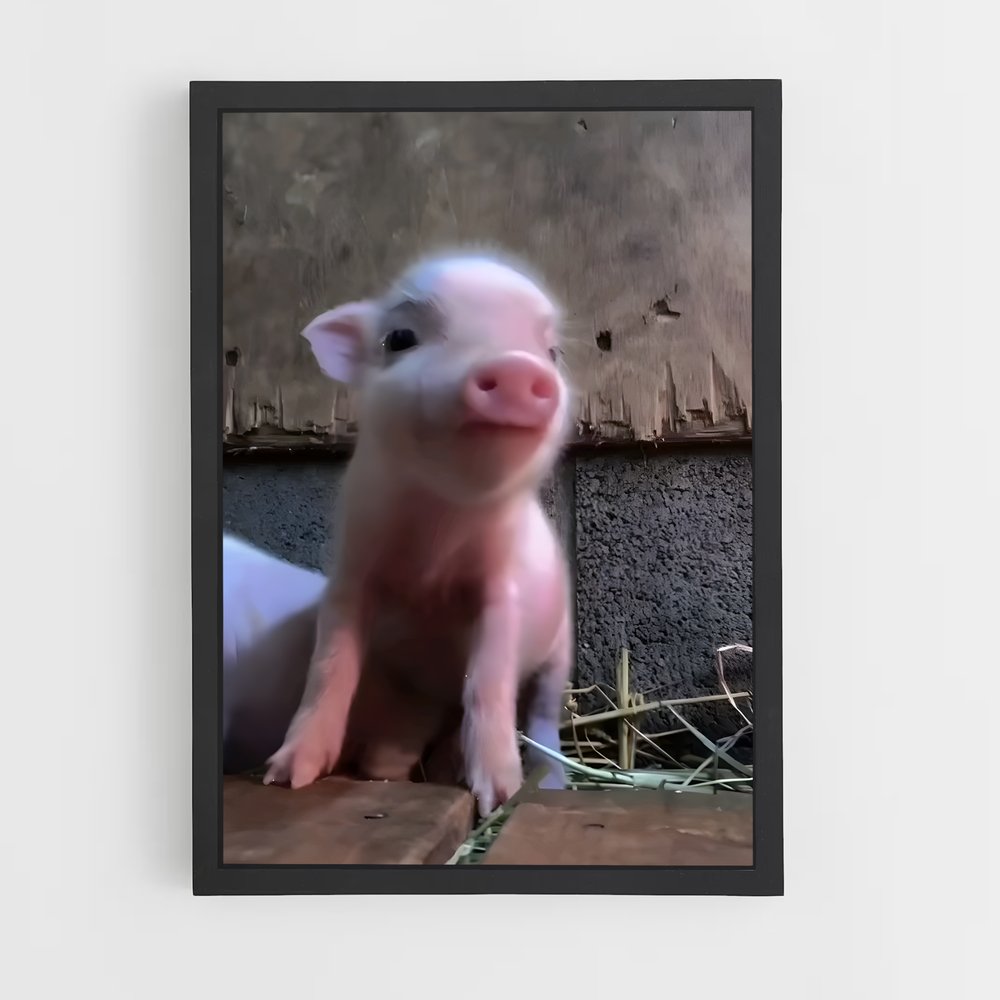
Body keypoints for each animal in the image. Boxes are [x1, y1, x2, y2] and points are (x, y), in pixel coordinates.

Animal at [263, 251, 574, 815]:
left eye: (552, 352)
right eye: (399, 338)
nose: (517, 368)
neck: (436, 537)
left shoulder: (503, 591)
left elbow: (489, 680)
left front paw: (498, 795)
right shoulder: (351, 573)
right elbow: (329, 666)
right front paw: (285, 778)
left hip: (561, 647)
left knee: (541, 716)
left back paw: (548, 783)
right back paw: (392, 771)